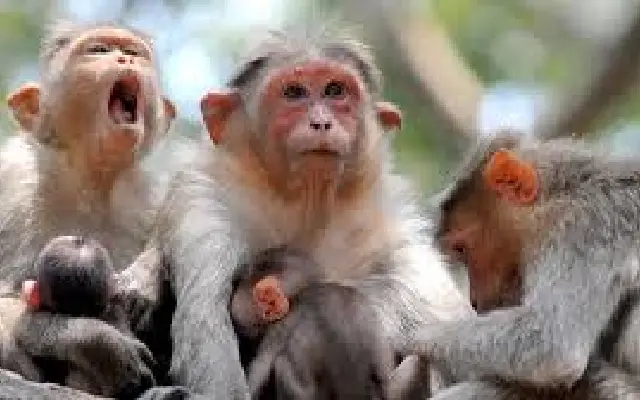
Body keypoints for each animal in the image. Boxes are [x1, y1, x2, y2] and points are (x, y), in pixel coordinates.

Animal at [0, 20, 177, 398]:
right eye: (98, 50)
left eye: (135, 52)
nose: (125, 57)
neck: (93, 180)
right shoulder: (13, 180)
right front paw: (95, 341)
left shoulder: (151, 192)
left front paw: (144, 278)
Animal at [138, 25, 473, 399]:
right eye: (294, 93)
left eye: (335, 91)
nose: (321, 122)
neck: (303, 203)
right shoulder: (202, 203)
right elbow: (206, 326)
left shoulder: (392, 228)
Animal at [398, 131, 640, 399]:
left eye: (461, 249)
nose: (475, 301)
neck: (563, 195)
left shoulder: (584, 231)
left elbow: (552, 343)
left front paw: (412, 336)